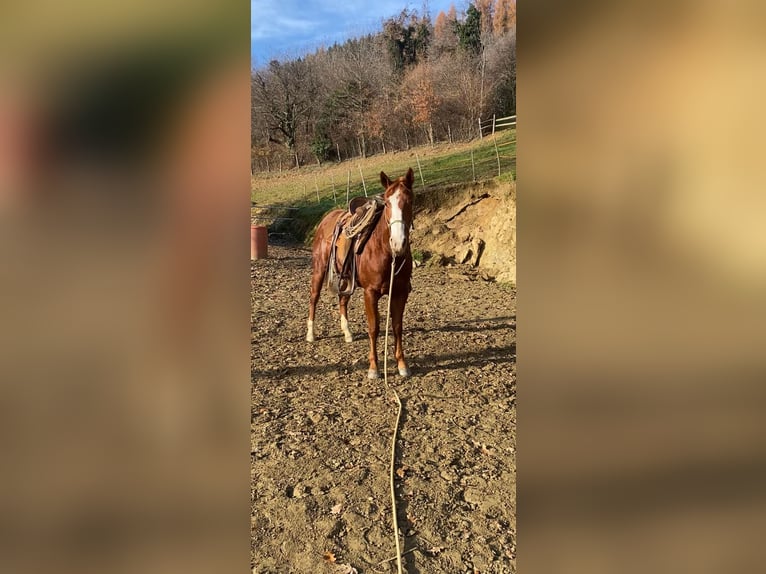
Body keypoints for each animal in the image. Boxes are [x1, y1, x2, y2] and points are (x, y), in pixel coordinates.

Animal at [306, 169, 414, 380]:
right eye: (387, 203)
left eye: (410, 200)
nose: (398, 243)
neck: (384, 251)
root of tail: (327, 217)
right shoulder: (370, 293)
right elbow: (374, 327)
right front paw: (374, 368)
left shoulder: (400, 292)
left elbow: (397, 326)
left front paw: (402, 365)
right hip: (320, 269)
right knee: (314, 297)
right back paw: (311, 334)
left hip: (347, 277)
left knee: (342, 300)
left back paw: (347, 333)